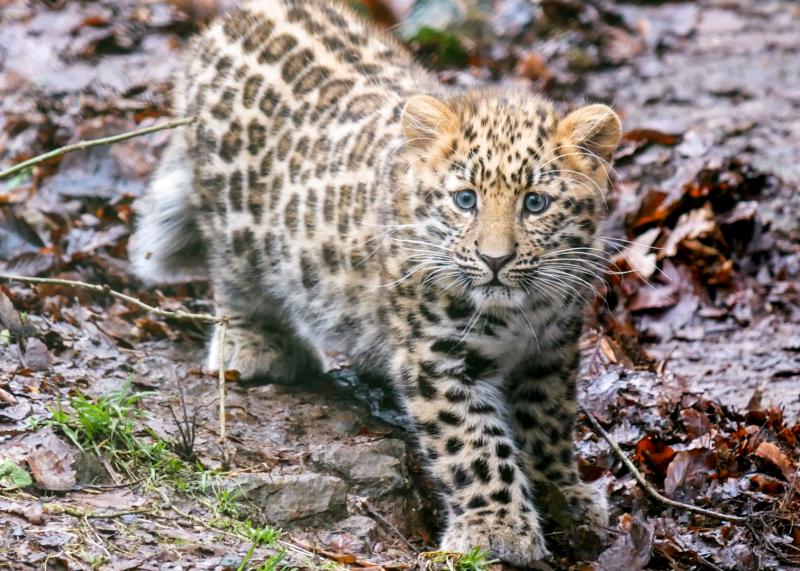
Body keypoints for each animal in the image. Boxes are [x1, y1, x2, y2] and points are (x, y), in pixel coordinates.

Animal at [129, 0, 621, 565]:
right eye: (465, 199)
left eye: (535, 203)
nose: (495, 259)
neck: (520, 310)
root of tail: (231, 21)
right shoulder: (437, 358)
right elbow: (474, 445)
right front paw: (497, 527)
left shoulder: (552, 351)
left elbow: (547, 423)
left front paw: (566, 494)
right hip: (234, 224)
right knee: (235, 281)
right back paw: (255, 346)